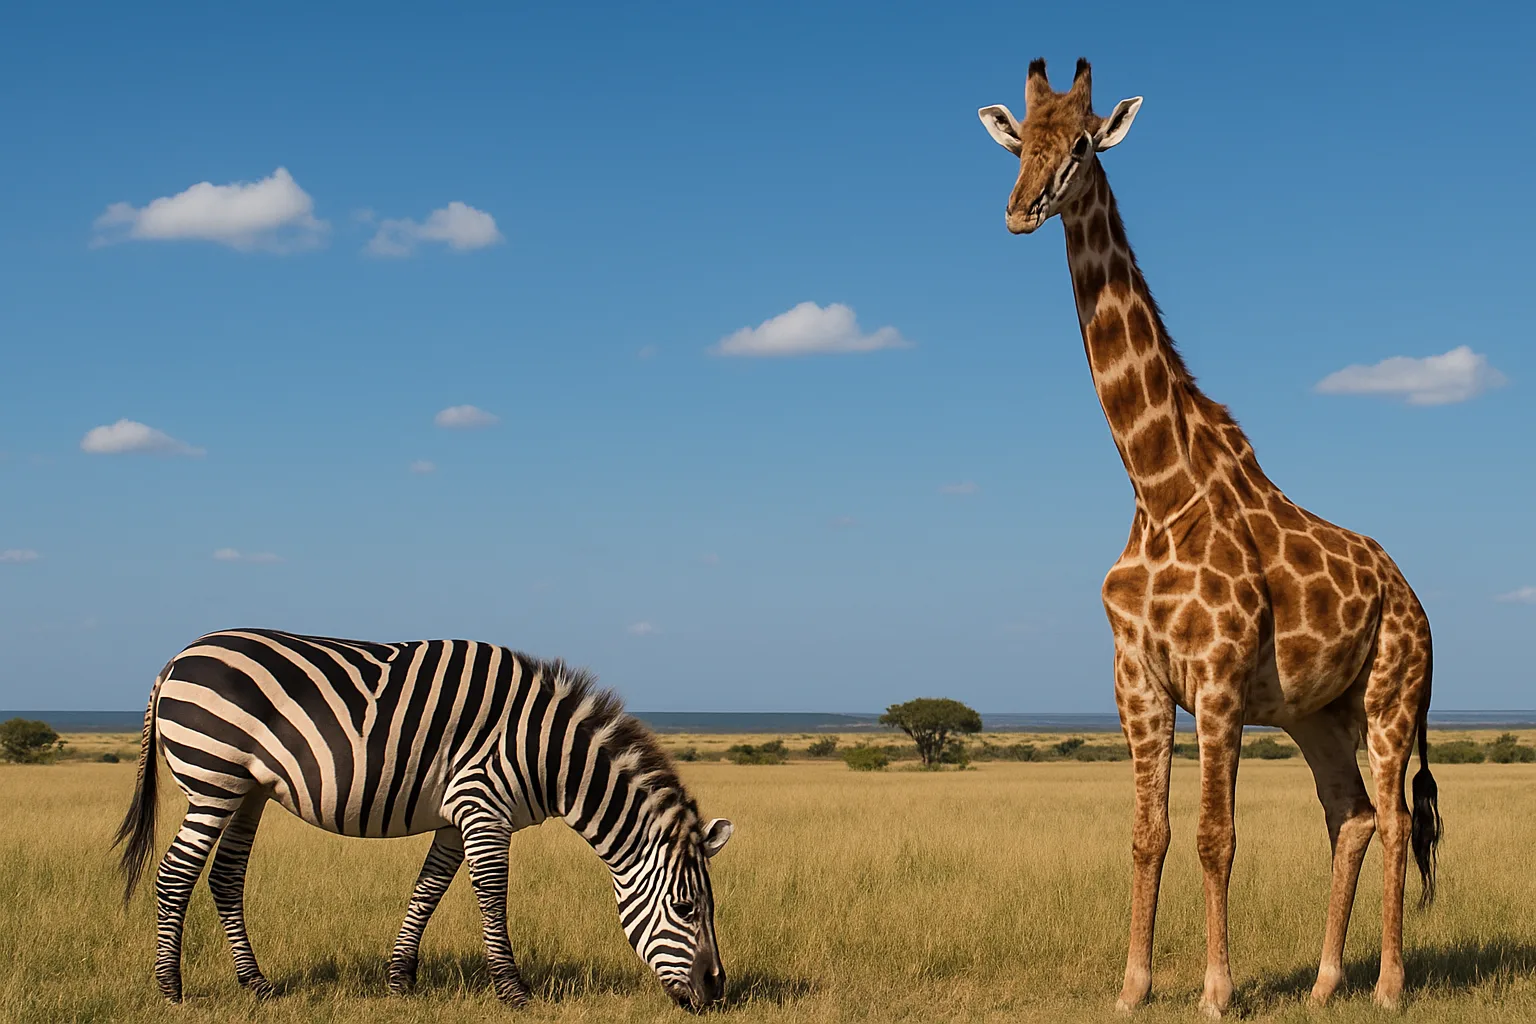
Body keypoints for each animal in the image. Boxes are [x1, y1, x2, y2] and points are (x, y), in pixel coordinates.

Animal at [113, 628, 734, 1010]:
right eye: (687, 908)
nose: (718, 991)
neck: (546, 753)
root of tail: (178, 658)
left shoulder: (456, 814)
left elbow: (428, 890)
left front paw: (400, 982)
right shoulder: (483, 805)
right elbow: (491, 896)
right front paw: (513, 992)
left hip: (247, 791)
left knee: (224, 877)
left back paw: (257, 986)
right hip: (213, 780)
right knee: (176, 875)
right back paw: (170, 989)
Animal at [977, 59, 1442, 1016]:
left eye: (1083, 145)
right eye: (1018, 142)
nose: (1021, 208)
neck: (1158, 486)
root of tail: (1417, 600)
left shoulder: (1220, 677)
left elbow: (1213, 836)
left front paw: (1217, 991)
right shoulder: (1137, 680)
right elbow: (1148, 835)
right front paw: (1133, 986)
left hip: (1391, 697)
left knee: (1396, 816)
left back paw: (1385, 985)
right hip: (1317, 714)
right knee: (1352, 815)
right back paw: (1325, 983)